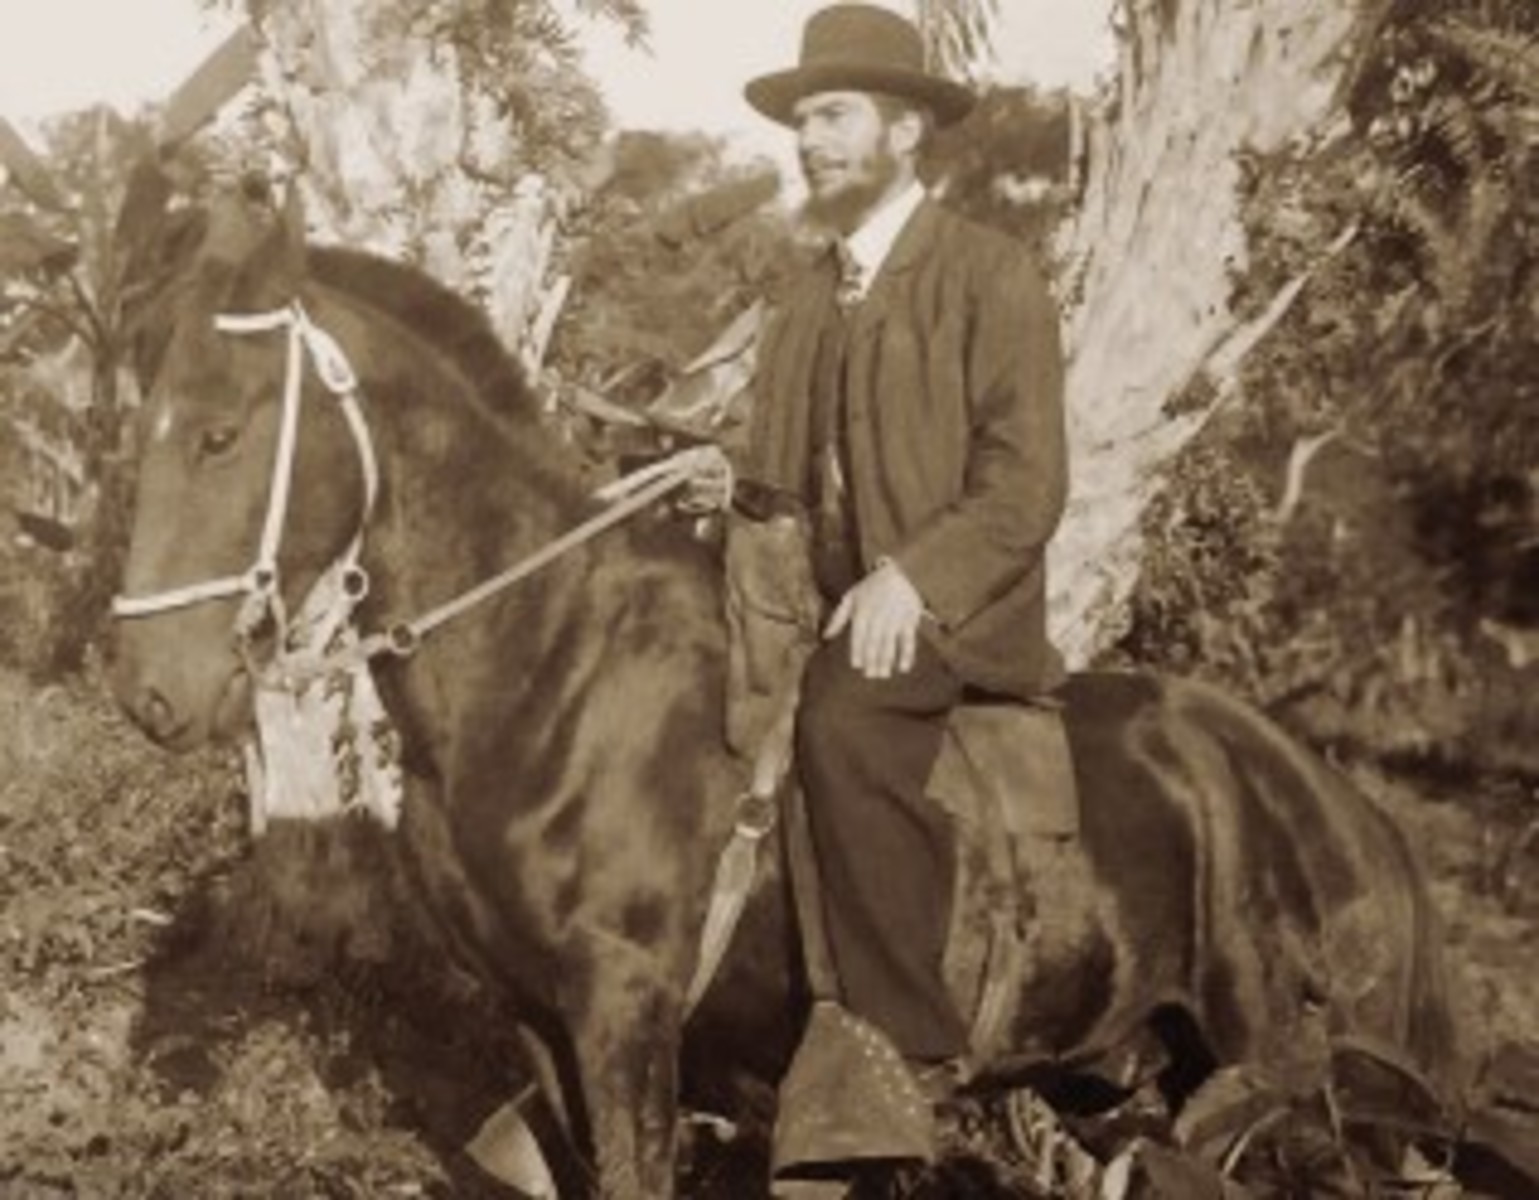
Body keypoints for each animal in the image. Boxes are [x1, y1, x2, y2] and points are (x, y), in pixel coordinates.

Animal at [113, 192, 1458, 1193]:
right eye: (145, 423)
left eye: (225, 434)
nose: (150, 692)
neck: (554, 676)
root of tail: (1346, 812)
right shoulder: (541, 1025)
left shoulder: (627, 1019)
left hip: (1290, 1082)